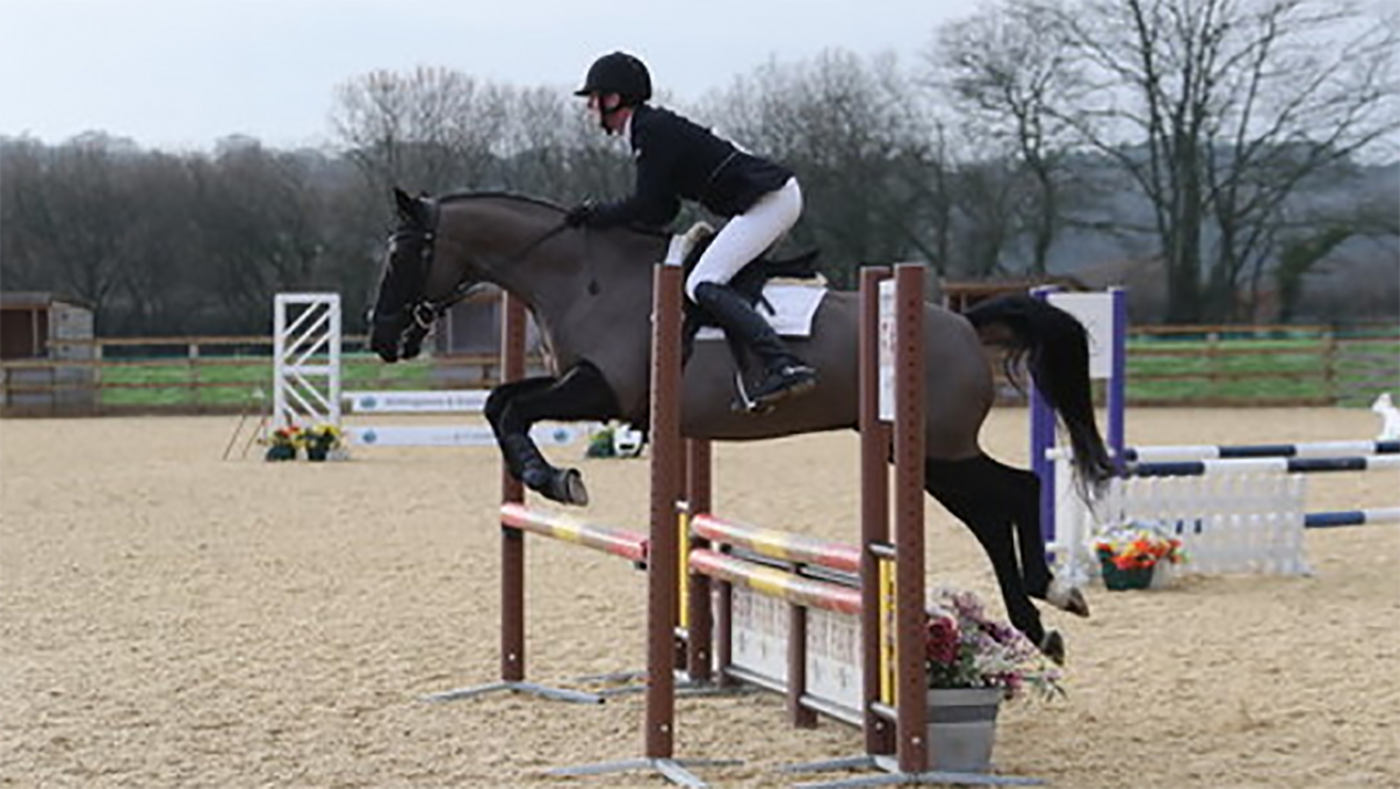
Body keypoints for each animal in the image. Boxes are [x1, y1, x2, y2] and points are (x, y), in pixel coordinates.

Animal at [368, 187, 1114, 662]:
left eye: (401, 255)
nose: (380, 339)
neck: (580, 275)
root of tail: (963, 323)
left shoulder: (604, 388)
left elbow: (510, 407)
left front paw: (553, 478)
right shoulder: (587, 386)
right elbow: (501, 402)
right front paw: (548, 474)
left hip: (932, 447)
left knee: (1012, 491)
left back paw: (1048, 599)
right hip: (922, 453)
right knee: (998, 501)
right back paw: (1044, 613)